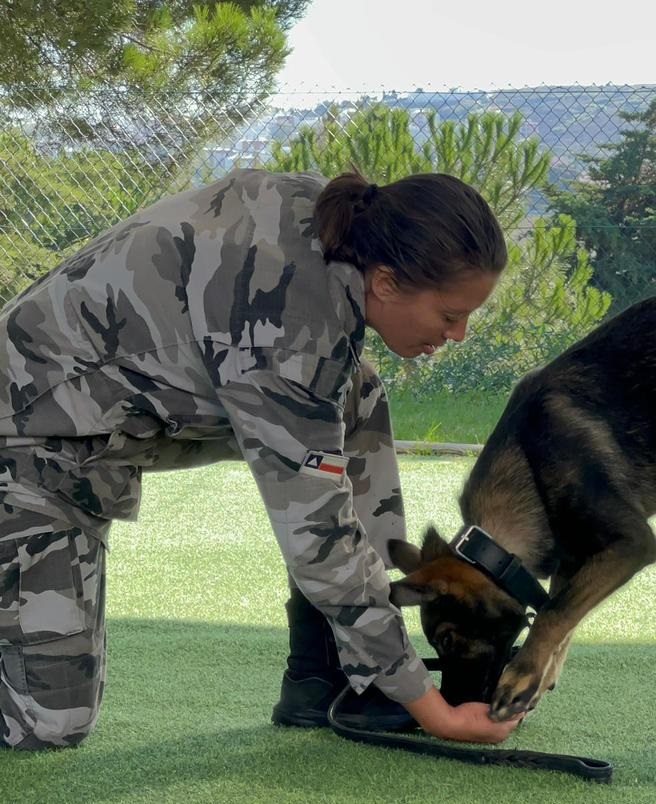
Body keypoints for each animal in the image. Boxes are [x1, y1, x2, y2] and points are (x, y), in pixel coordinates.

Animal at [390, 296, 656, 724]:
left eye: (447, 639)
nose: (451, 705)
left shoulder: (631, 544)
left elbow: (553, 612)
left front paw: (521, 677)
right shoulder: (575, 558)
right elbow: (562, 613)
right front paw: (540, 677)